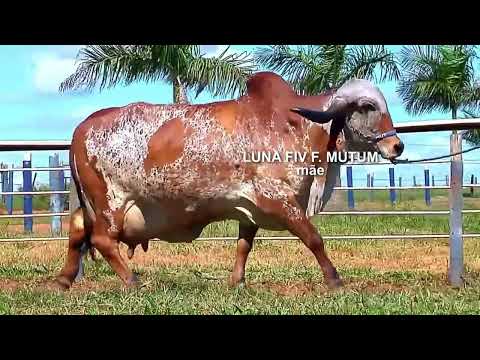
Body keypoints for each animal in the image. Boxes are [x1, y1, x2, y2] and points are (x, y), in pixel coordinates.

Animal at [53, 71, 404, 292]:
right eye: (368, 107)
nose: (397, 145)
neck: (296, 125)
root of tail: (81, 128)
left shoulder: (249, 209)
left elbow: (243, 246)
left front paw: (236, 282)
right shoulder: (279, 200)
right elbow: (314, 238)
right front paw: (334, 280)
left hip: (93, 204)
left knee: (77, 231)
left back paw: (63, 281)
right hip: (111, 202)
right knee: (101, 240)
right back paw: (132, 283)